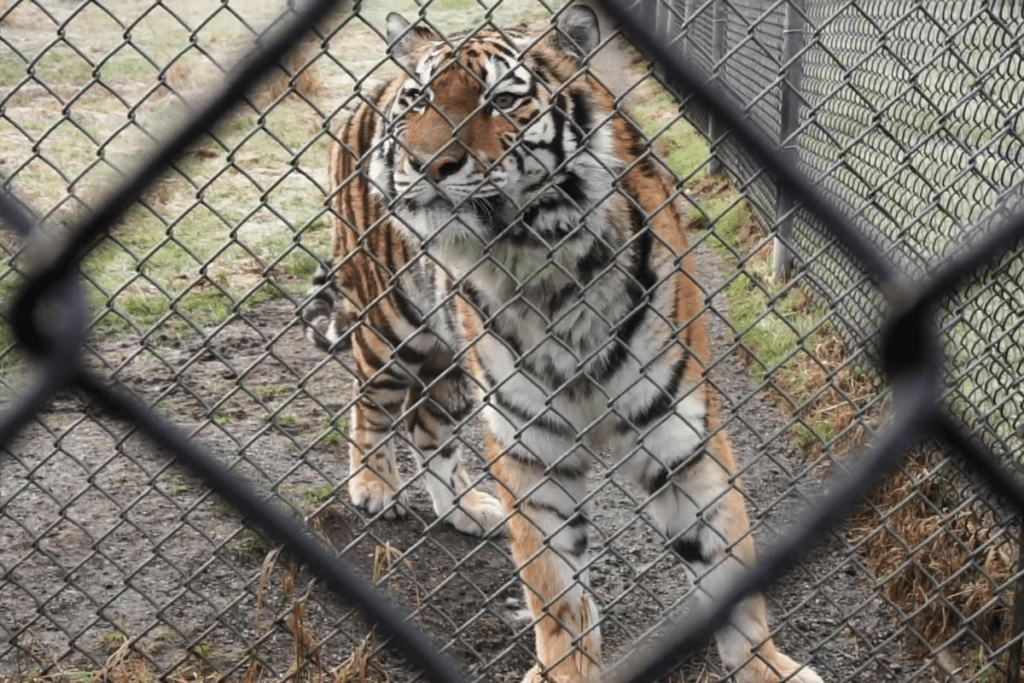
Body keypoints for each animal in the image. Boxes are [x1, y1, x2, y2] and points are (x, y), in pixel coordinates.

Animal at [303, 6, 823, 683]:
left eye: (502, 100)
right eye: (419, 101)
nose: (424, 164)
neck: (546, 268)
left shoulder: (677, 429)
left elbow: (725, 558)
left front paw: (764, 666)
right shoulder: (532, 445)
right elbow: (555, 587)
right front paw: (566, 668)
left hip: (448, 359)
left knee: (427, 424)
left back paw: (465, 509)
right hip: (389, 320)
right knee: (370, 400)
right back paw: (374, 486)